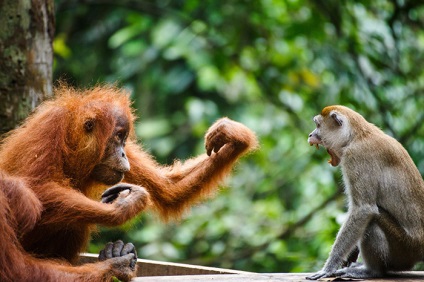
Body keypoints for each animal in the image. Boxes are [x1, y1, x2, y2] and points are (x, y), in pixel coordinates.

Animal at [306, 106, 424, 280]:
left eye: (318, 125)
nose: (310, 135)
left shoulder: (355, 157)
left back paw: (371, 271)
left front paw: (328, 268)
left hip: (405, 249)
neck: (358, 135)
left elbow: (363, 210)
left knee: (373, 221)